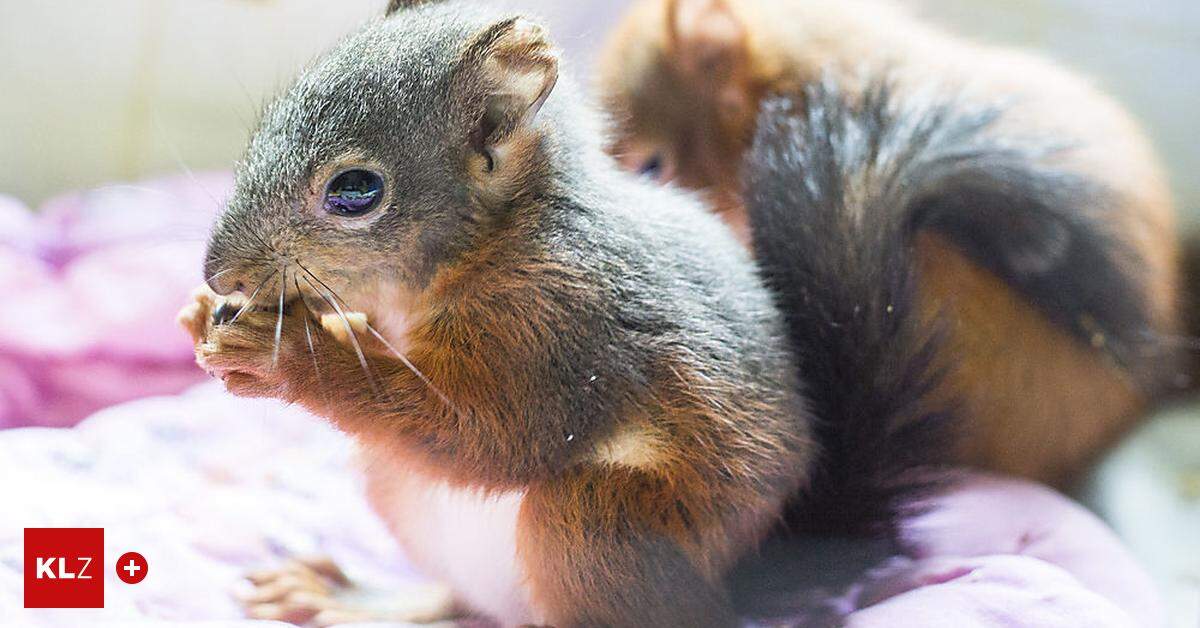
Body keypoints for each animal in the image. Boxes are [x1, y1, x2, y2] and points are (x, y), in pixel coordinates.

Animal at [175, 1, 964, 628]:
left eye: (355, 190)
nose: (219, 274)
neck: (495, 239)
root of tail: (746, 584)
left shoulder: (560, 320)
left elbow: (491, 433)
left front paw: (286, 357)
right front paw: (210, 314)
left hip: (598, 527)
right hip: (399, 487)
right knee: (465, 603)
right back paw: (366, 603)